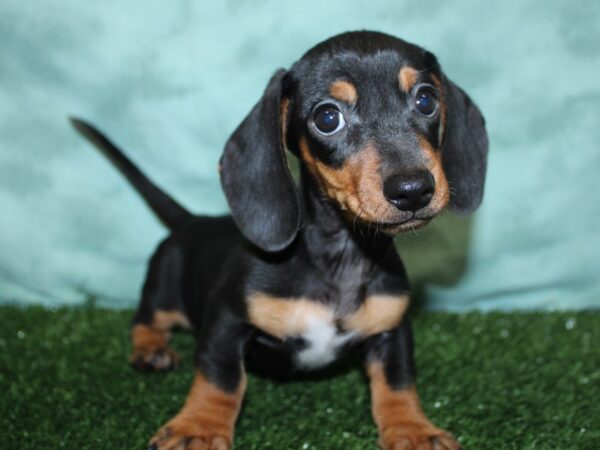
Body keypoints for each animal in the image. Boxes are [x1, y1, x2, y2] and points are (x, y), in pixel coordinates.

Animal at [72, 30, 486, 450]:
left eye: (426, 100)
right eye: (327, 118)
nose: (413, 190)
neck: (339, 257)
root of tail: (192, 220)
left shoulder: (392, 328)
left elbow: (398, 381)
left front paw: (414, 430)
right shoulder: (226, 321)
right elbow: (220, 378)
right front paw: (198, 427)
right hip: (163, 290)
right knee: (144, 319)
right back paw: (151, 350)